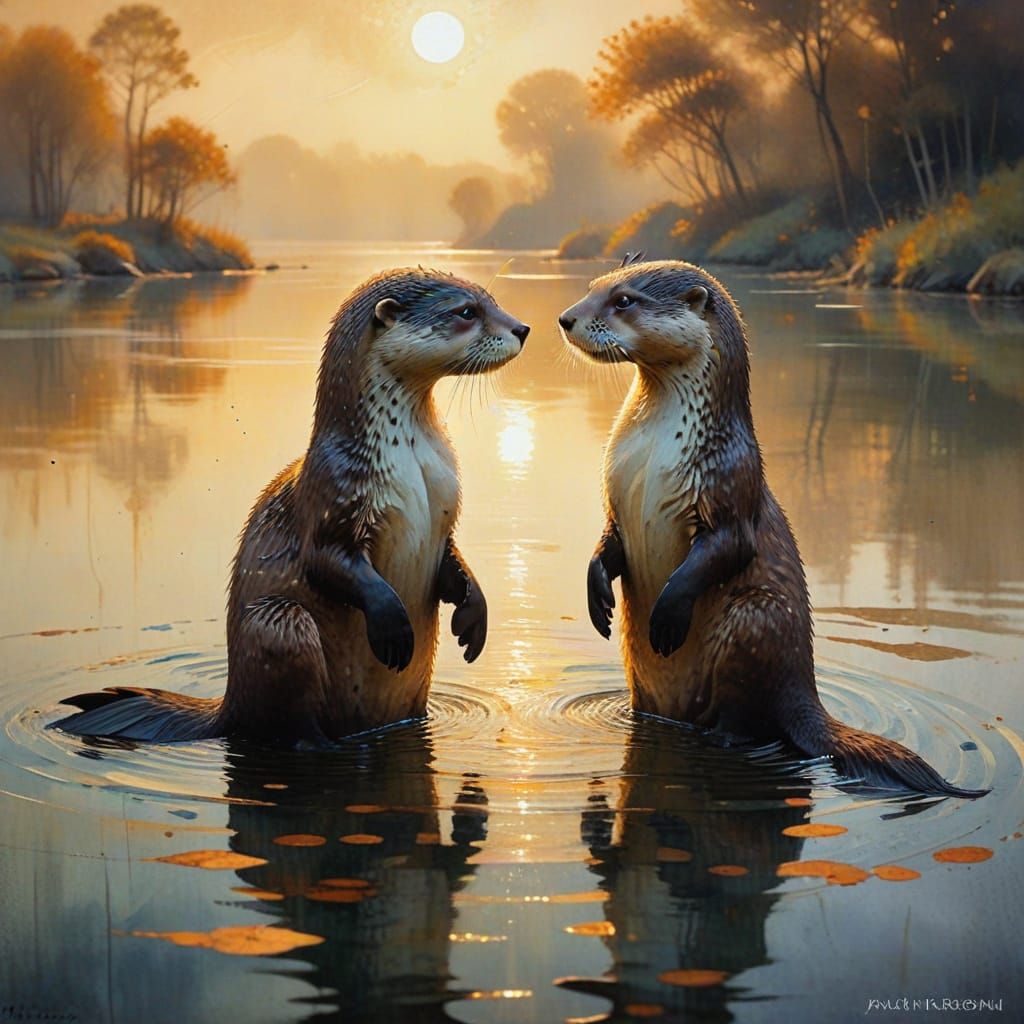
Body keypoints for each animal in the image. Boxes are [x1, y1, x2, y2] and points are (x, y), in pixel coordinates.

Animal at [57, 267, 529, 744]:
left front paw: (474, 619)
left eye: (492, 301)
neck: (411, 464)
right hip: (279, 627)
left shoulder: (446, 512)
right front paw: (393, 624)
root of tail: (227, 706)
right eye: (466, 312)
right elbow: (327, 560)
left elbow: (454, 559)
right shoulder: (333, 497)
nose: (522, 328)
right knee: (289, 714)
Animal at [559, 256, 984, 797]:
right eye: (595, 286)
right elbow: (608, 542)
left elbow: (728, 548)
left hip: (755, 622)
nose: (567, 318)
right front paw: (598, 596)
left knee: (745, 717)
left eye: (624, 300)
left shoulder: (729, 485)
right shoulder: (614, 498)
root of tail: (802, 687)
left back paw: (724, 739)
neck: (651, 455)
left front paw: (667, 616)